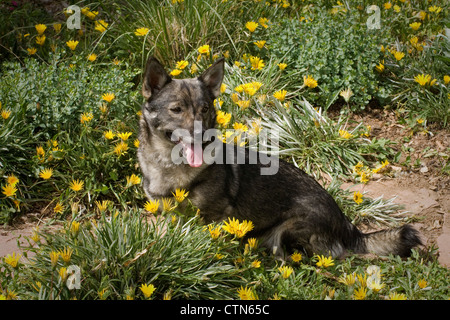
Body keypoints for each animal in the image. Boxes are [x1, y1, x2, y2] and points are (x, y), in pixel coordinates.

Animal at [137, 56, 422, 258]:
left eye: (205, 109)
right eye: (176, 109)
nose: (201, 135)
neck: (170, 165)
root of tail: (346, 223)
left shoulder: (217, 218)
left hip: (291, 228)